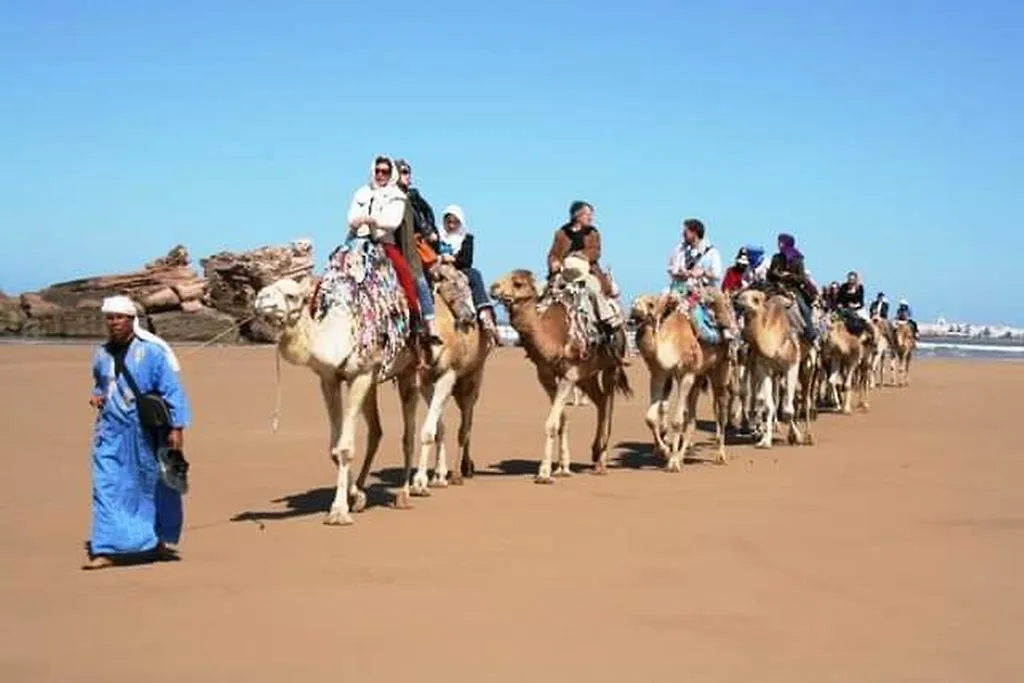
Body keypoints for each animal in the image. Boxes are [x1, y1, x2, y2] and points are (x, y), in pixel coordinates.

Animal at [489, 270, 630, 483]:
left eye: (518, 283)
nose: (493, 288)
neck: (553, 337)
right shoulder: (546, 376)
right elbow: (561, 421)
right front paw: (562, 468)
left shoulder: (569, 376)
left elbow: (551, 424)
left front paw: (544, 473)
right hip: (587, 376)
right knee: (601, 401)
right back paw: (595, 452)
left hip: (611, 366)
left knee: (608, 404)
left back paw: (601, 463)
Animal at [626, 294, 733, 471]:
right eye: (636, 300)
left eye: (650, 303)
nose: (634, 308)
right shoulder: (659, 374)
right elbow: (650, 418)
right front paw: (665, 452)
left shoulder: (686, 374)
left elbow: (677, 421)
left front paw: (673, 462)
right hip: (699, 376)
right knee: (692, 417)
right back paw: (682, 455)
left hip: (720, 368)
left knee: (721, 409)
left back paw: (721, 455)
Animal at [733, 288, 819, 448]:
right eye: (741, 295)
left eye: (755, 299)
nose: (736, 302)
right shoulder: (764, 368)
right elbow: (768, 405)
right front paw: (765, 440)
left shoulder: (792, 365)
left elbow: (788, 409)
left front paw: (797, 437)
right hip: (774, 373)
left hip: (808, 363)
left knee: (805, 397)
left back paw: (808, 436)